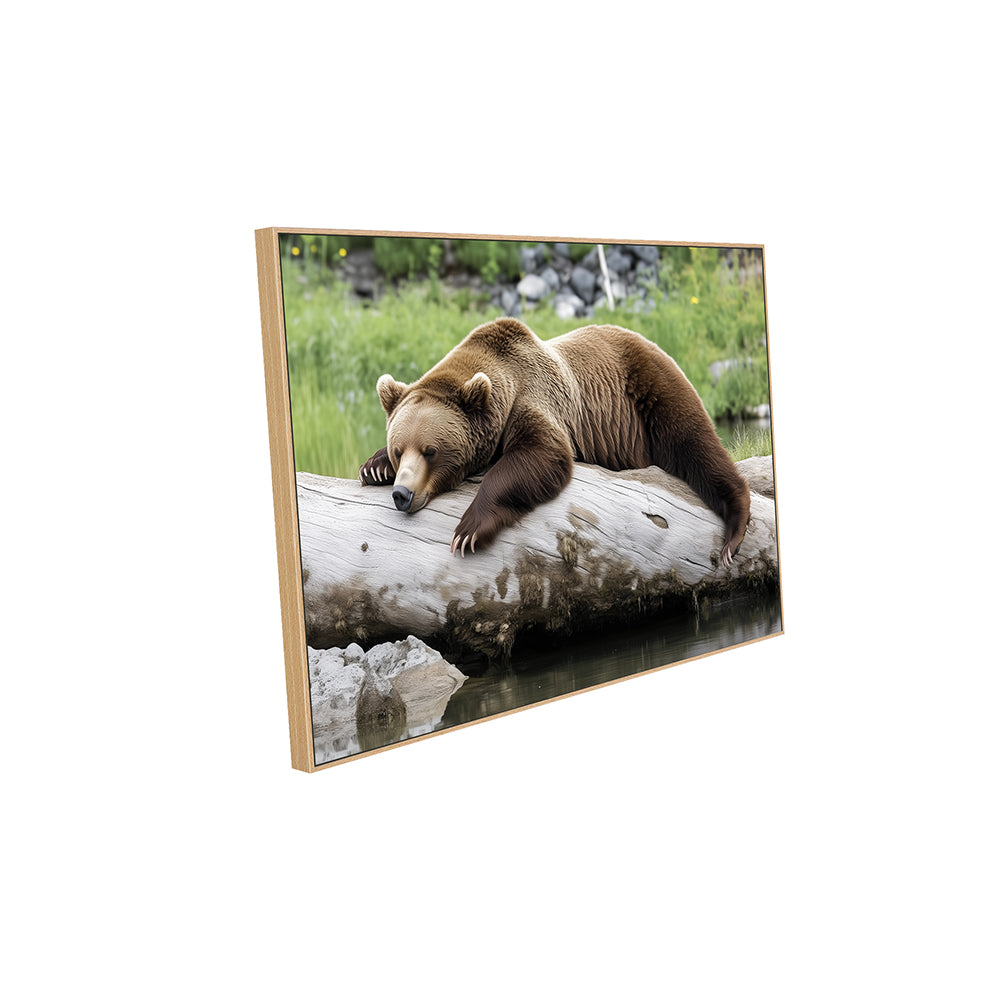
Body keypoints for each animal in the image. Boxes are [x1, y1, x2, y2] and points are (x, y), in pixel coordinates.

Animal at [358, 318, 751, 567]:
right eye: (398, 450)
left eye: (431, 451)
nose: (402, 493)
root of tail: (641, 337)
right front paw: (373, 468)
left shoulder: (532, 398)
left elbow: (543, 455)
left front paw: (468, 530)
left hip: (650, 389)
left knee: (694, 442)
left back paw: (733, 528)